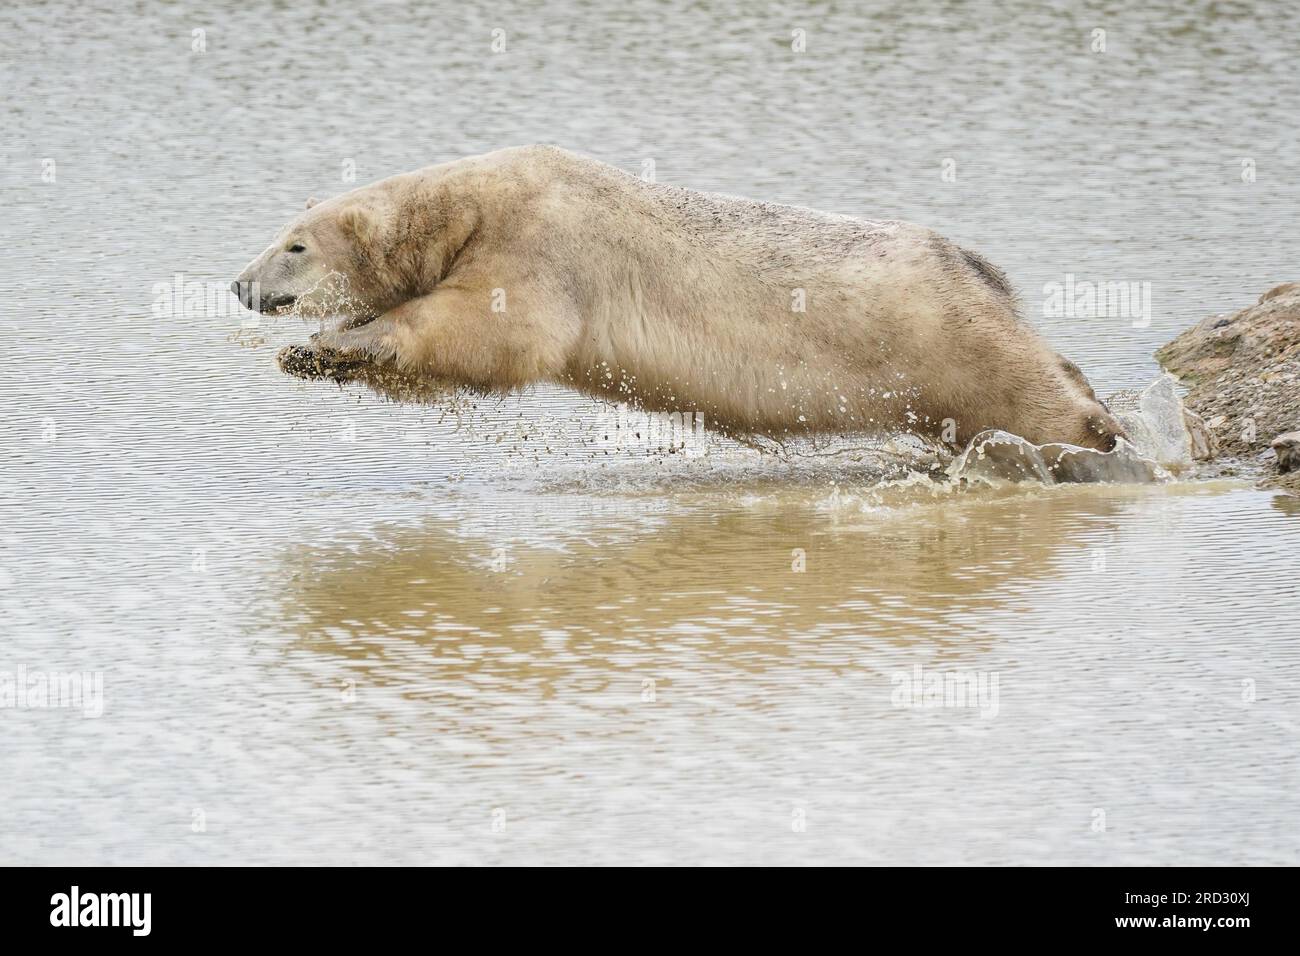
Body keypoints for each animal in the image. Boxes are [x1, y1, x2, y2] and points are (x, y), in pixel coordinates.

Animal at [228, 143, 1123, 450]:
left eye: (294, 245)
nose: (239, 285)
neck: (468, 200)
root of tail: (975, 266)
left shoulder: (541, 242)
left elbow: (498, 332)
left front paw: (344, 341)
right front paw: (310, 352)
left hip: (945, 333)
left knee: (1030, 388)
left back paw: (1101, 435)